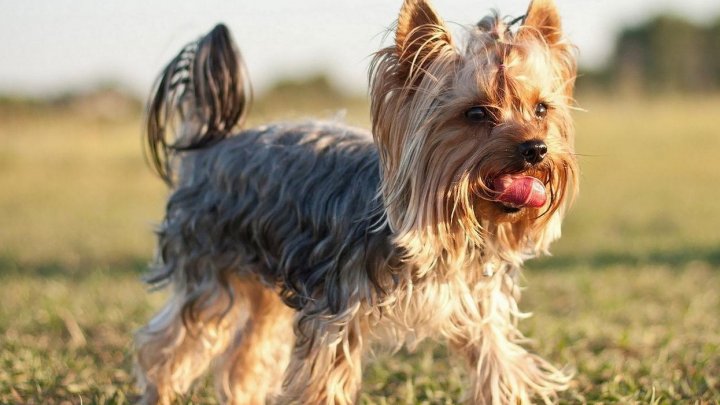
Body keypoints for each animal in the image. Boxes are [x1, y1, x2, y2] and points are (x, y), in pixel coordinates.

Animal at [135, 1, 580, 402]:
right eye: (476, 113)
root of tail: (211, 144)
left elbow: (499, 368)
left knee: (246, 356)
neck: (444, 232)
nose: (536, 149)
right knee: (170, 349)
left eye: (541, 109)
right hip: (210, 272)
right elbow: (323, 384)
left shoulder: (479, 309)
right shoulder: (336, 317)